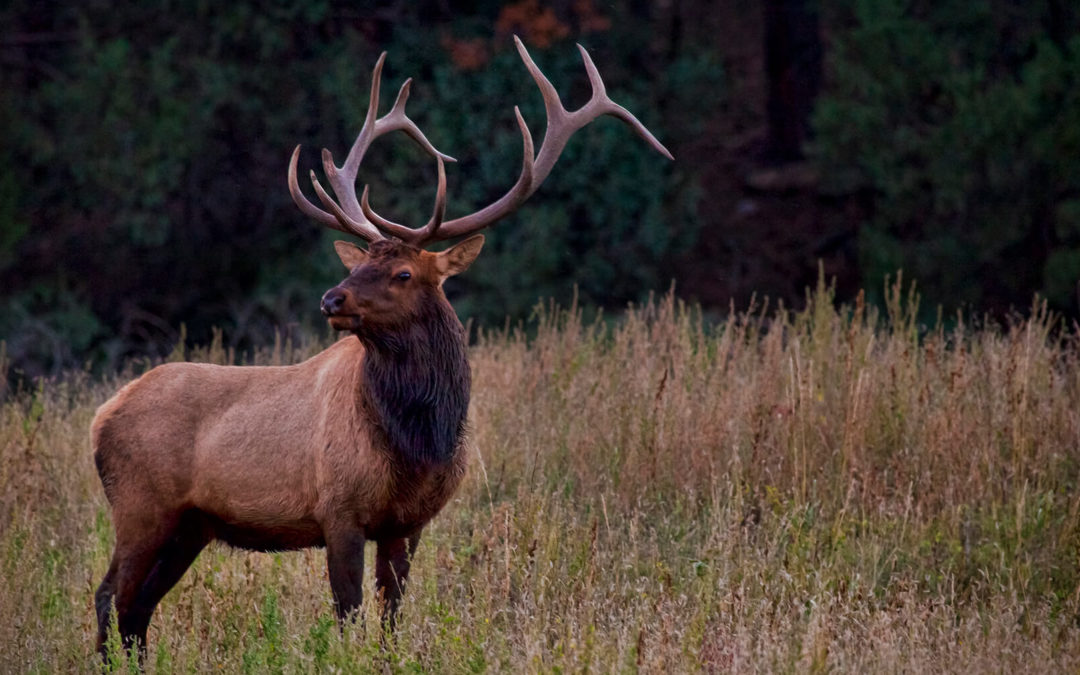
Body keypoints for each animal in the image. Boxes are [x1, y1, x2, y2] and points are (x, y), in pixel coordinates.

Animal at [92, 36, 669, 656]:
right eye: (360, 263)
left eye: (402, 273)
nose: (331, 299)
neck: (418, 440)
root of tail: (101, 417)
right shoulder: (338, 510)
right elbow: (349, 616)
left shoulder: (408, 523)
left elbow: (392, 619)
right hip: (141, 505)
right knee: (111, 597)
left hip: (191, 525)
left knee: (137, 609)